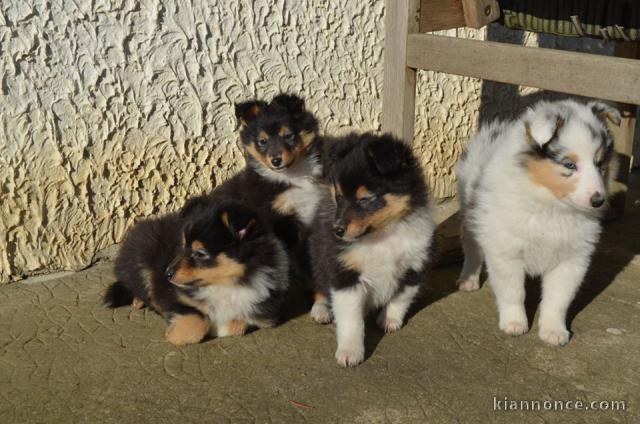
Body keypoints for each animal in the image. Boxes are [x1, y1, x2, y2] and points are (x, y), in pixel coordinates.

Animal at [104, 198, 288, 344]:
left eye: (200, 253)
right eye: (183, 245)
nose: (167, 274)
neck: (226, 284)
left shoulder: (262, 308)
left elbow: (237, 324)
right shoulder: (173, 295)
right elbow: (197, 322)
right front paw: (174, 334)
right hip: (143, 256)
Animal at [308, 133, 436, 368]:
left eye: (365, 199)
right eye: (339, 196)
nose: (337, 230)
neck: (382, 235)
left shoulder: (416, 265)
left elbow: (401, 297)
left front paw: (389, 320)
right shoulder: (344, 273)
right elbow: (351, 320)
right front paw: (350, 352)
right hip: (318, 254)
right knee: (320, 284)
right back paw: (321, 309)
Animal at [458, 100, 624, 348]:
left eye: (600, 163)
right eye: (569, 165)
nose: (598, 201)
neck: (552, 206)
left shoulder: (572, 260)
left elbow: (558, 299)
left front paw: (553, 331)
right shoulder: (507, 253)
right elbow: (513, 291)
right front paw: (514, 324)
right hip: (471, 216)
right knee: (472, 249)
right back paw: (468, 280)